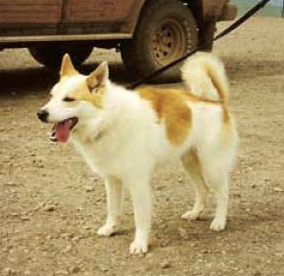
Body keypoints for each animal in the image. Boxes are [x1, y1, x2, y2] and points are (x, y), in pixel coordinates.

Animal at [37, 52, 237, 253]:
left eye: (69, 99)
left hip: (212, 166)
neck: (108, 120)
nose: (40, 114)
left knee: (223, 193)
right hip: (189, 163)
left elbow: (140, 217)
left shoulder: (138, 183)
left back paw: (219, 221)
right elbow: (112, 209)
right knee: (203, 189)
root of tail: (214, 101)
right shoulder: (112, 180)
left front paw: (140, 243)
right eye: (52, 96)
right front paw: (110, 228)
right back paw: (195, 213)